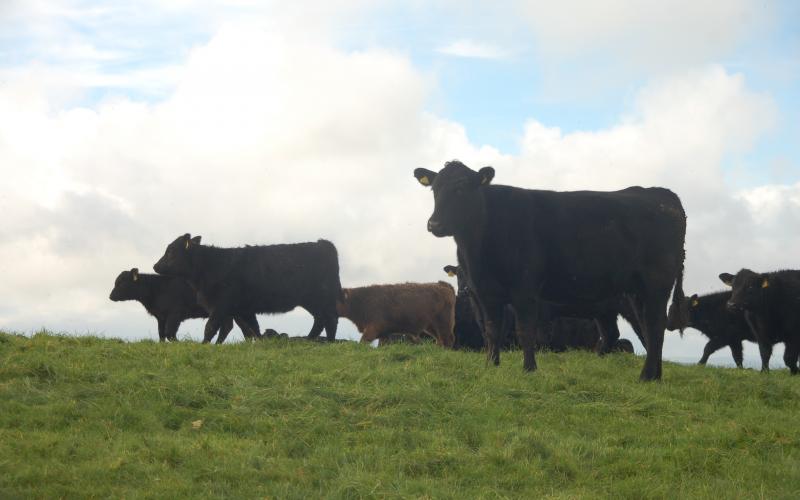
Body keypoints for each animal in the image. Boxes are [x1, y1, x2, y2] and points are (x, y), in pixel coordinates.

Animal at [108, 270, 256, 344]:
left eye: (122, 282)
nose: (111, 296)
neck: (157, 288)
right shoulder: (161, 317)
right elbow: (161, 333)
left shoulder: (175, 314)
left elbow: (170, 333)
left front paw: (180, 344)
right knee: (239, 328)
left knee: (232, 327)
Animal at [152, 234, 340, 344]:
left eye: (171, 252)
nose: (155, 266)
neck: (212, 265)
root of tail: (323, 244)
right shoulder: (243, 309)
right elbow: (252, 329)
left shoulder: (221, 305)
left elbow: (211, 327)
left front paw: (204, 345)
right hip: (312, 301)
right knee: (320, 319)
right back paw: (311, 339)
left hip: (321, 296)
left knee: (330, 318)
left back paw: (328, 341)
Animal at [416, 162, 684, 380]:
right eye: (434, 189)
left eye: (460, 189)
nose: (434, 224)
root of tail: (661, 194)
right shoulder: (485, 293)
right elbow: (492, 331)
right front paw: (491, 365)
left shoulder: (525, 290)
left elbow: (526, 330)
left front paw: (529, 369)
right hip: (634, 293)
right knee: (643, 329)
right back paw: (655, 375)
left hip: (656, 284)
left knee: (653, 326)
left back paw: (646, 376)